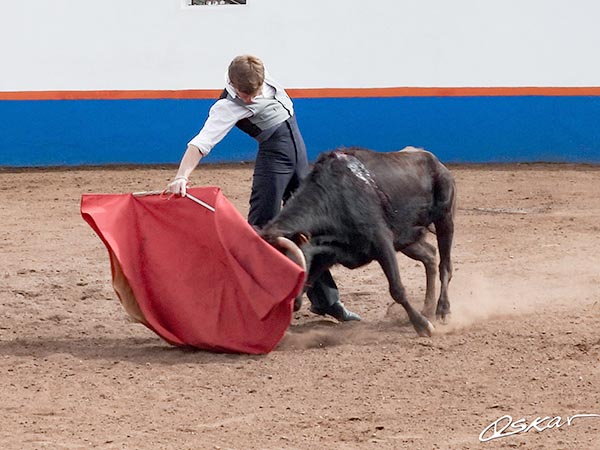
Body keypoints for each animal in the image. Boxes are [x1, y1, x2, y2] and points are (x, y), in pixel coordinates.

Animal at [260, 146, 458, 336]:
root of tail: (435, 162)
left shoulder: (382, 242)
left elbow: (397, 289)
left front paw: (423, 326)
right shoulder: (323, 255)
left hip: (444, 219)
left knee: (445, 265)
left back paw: (443, 311)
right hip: (406, 238)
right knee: (430, 255)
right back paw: (427, 308)